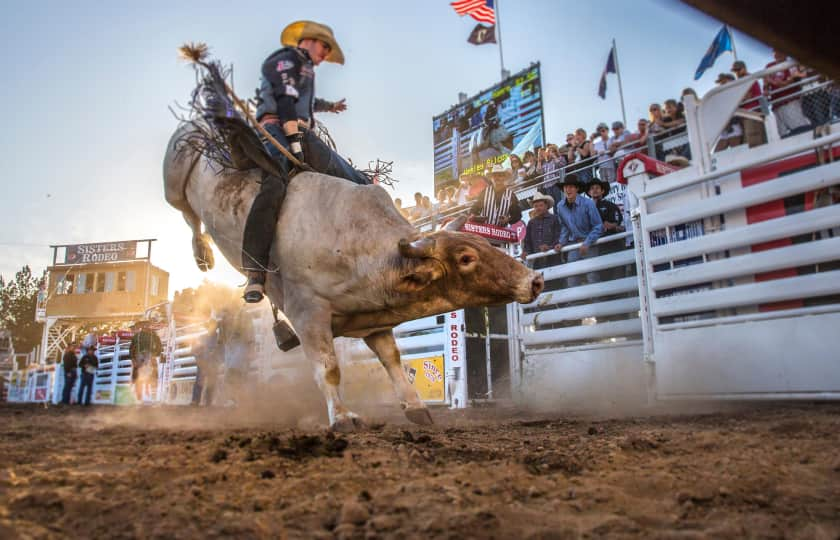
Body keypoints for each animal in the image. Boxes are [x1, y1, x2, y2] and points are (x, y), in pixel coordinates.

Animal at [164, 125, 544, 430]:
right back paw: (202, 253)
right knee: (186, 213)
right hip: (174, 181)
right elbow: (329, 367)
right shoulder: (308, 314)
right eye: (466, 258)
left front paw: (416, 408)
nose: (535, 280)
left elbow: (393, 360)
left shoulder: (373, 323)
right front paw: (344, 417)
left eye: (485, 243)